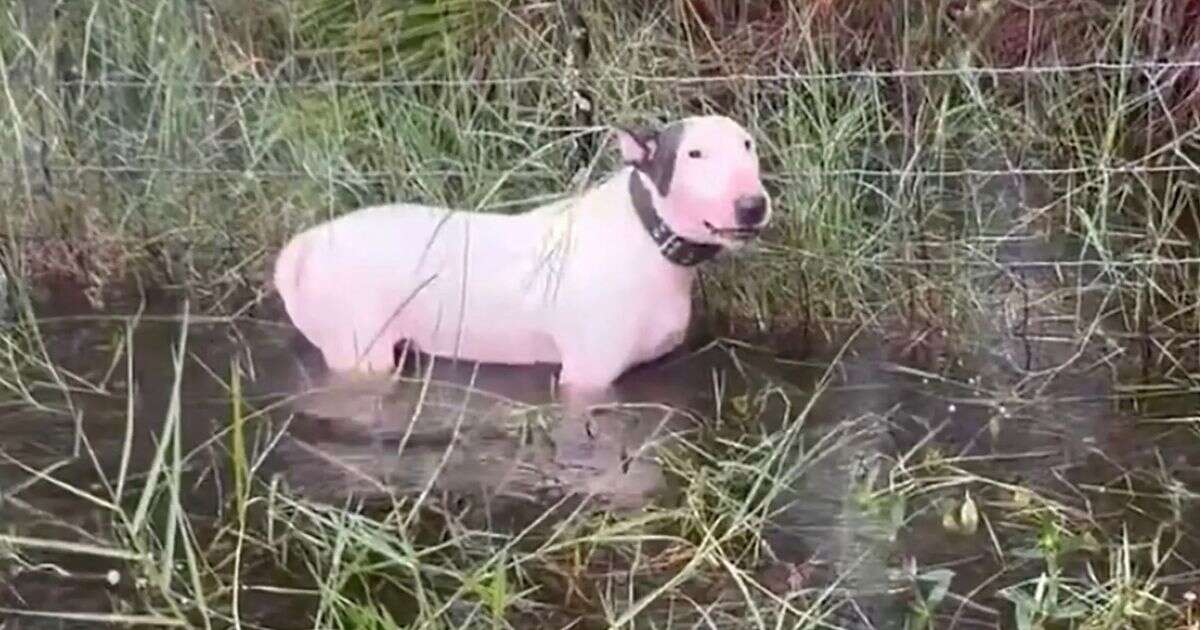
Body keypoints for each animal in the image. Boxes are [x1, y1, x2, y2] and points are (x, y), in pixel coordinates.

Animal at [274, 114, 768, 403]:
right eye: (694, 153)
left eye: (748, 145)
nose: (753, 205)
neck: (647, 237)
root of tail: (303, 245)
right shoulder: (587, 375)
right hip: (359, 348)